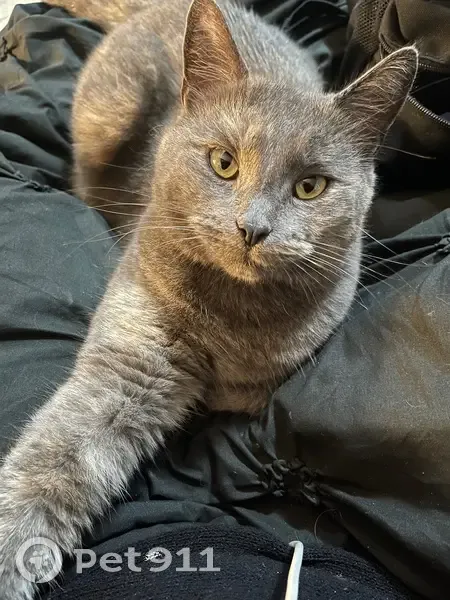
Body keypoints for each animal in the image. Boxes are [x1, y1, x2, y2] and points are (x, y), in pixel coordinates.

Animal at [0, 0, 417, 598]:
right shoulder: (133, 354)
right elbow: (59, 454)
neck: (228, 313)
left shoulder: (262, 380)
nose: (253, 228)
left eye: (310, 186)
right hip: (108, 116)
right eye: (224, 162)